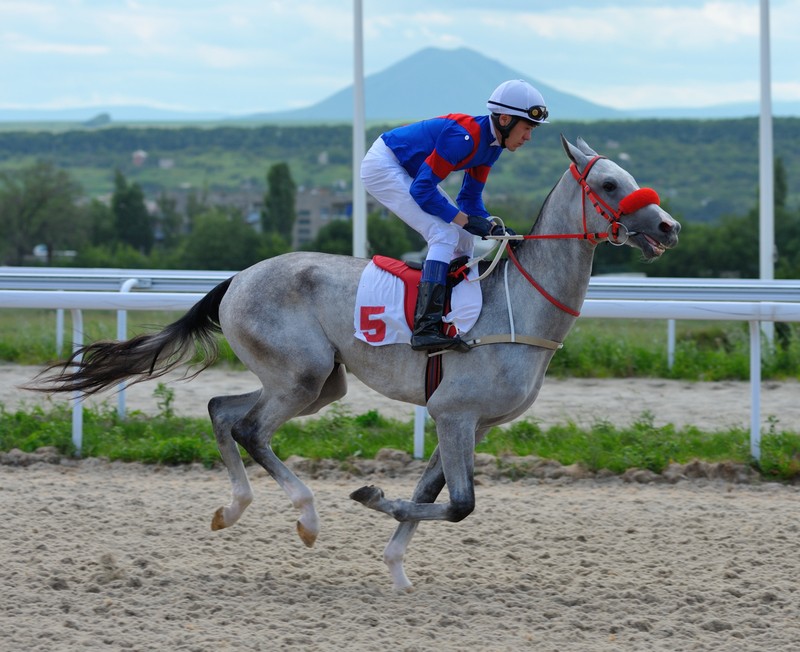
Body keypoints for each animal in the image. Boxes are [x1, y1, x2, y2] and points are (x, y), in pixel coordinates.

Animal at [26, 136, 676, 592]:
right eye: (612, 184)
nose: (668, 226)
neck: (518, 306)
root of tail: (236, 279)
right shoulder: (455, 413)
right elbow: (459, 504)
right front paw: (367, 495)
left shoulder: (468, 422)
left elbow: (434, 489)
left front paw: (397, 570)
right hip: (302, 374)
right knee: (249, 428)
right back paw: (306, 516)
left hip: (319, 384)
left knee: (220, 410)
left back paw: (232, 509)